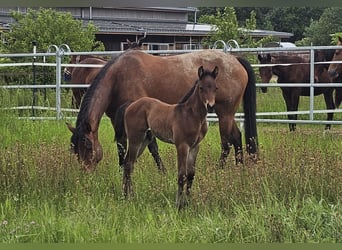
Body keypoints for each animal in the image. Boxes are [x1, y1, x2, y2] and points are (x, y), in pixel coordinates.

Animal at [68, 48, 258, 172]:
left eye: (87, 145)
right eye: (74, 149)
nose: (85, 172)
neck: (118, 78)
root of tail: (235, 59)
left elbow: (153, 147)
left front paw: (162, 171)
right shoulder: (117, 119)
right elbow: (121, 145)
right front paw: (121, 169)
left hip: (225, 114)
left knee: (226, 143)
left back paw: (219, 169)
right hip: (227, 114)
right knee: (236, 137)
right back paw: (240, 167)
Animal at [123, 65, 219, 208]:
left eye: (215, 88)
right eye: (201, 88)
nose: (211, 107)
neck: (193, 116)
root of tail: (130, 106)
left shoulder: (195, 147)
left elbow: (191, 174)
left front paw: (187, 203)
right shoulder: (182, 146)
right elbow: (182, 175)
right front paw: (178, 205)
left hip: (145, 140)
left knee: (127, 163)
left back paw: (125, 194)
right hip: (136, 139)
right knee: (129, 164)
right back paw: (129, 198)